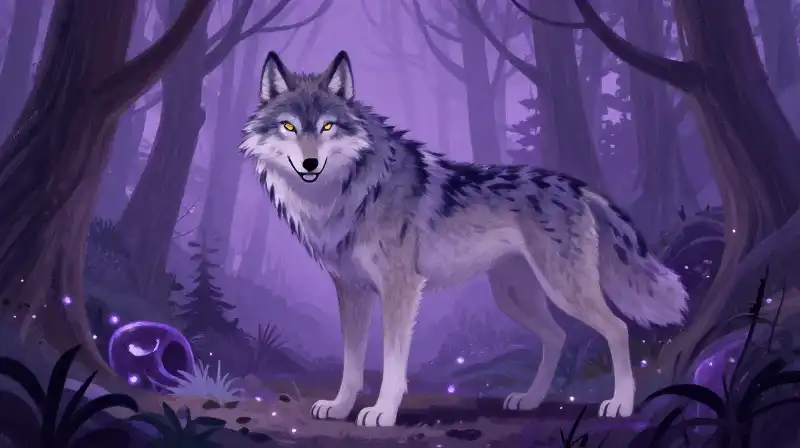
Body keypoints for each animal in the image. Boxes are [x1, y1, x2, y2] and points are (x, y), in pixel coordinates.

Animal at [239, 50, 689, 427]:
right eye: (289, 126)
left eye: (327, 126)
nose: (310, 163)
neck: (344, 195)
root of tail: (580, 188)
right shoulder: (352, 291)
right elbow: (351, 364)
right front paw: (340, 407)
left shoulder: (400, 288)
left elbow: (392, 361)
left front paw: (383, 412)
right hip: (514, 297)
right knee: (557, 336)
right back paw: (530, 400)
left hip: (564, 291)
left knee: (617, 328)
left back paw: (621, 404)